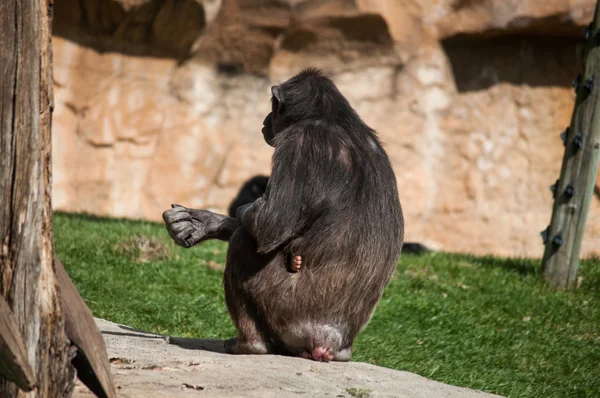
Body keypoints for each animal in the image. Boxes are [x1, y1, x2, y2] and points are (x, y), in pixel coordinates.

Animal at [164, 69, 404, 364]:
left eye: (272, 106)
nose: (266, 118)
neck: (335, 119)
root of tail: (330, 344)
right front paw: (199, 223)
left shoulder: (301, 142)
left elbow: (268, 223)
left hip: (288, 316)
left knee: (243, 241)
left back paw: (249, 344)